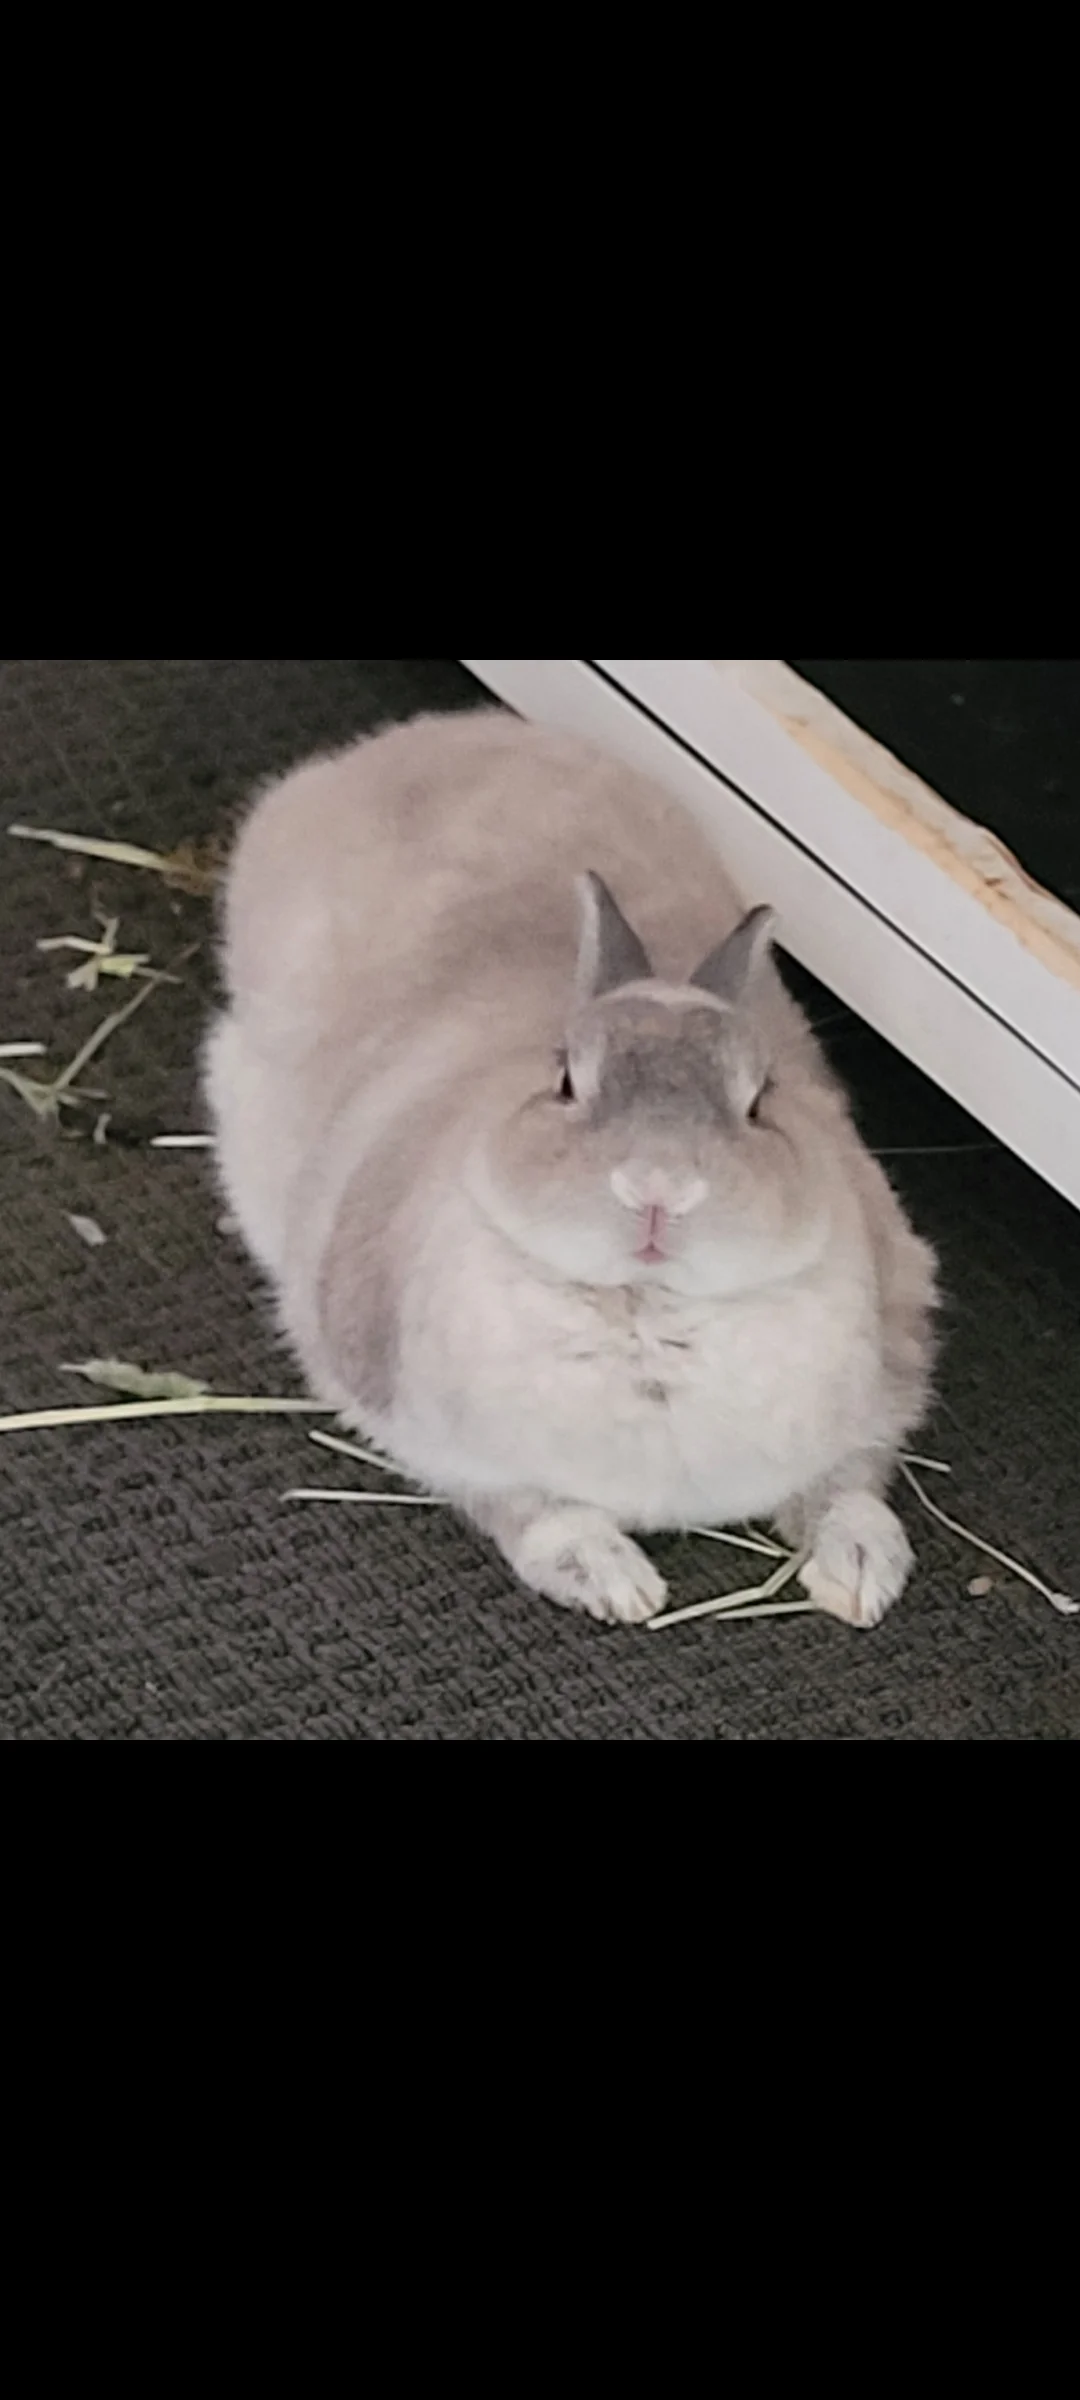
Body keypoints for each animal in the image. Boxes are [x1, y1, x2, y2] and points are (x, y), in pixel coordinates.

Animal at [204, 707, 938, 1629]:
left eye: (759, 1099)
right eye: (565, 1081)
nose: (658, 1188)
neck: (644, 1309)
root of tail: (406, 744)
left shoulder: (877, 1398)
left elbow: (848, 1486)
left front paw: (863, 1574)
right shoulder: (447, 1443)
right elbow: (537, 1513)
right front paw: (615, 1583)